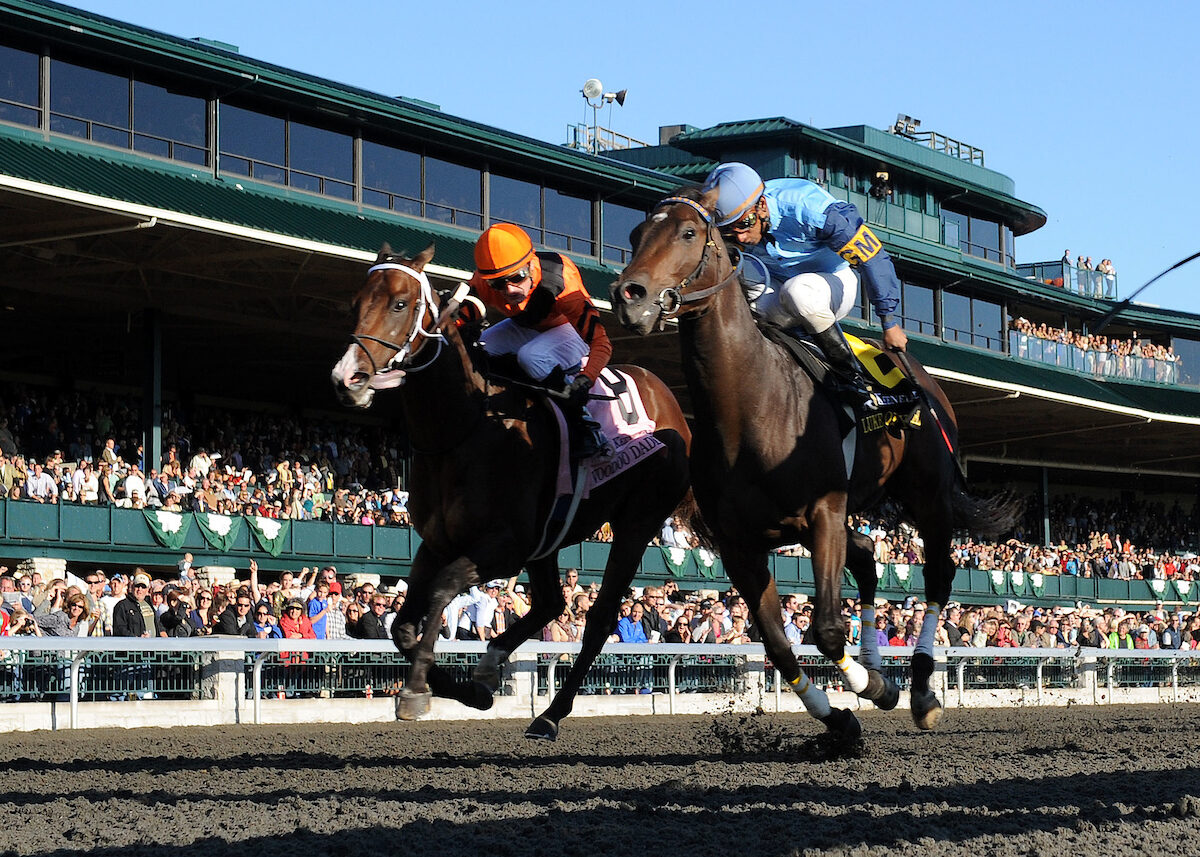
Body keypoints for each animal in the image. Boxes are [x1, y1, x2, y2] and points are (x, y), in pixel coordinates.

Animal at [333, 243, 691, 739]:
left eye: (400, 304)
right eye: (354, 304)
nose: (347, 378)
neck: (464, 427)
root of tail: (670, 400)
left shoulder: (504, 547)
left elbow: (442, 591)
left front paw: (418, 689)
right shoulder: (437, 543)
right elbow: (401, 626)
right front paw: (466, 689)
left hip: (637, 521)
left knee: (599, 619)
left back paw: (550, 713)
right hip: (549, 539)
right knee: (553, 602)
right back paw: (491, 665)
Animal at [614, 188, 1017, 734]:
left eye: (688, 233)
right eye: (636, 233)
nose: (629, 296)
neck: (751, 405)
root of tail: (928, 383)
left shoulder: (824, 512)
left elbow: (825, 629)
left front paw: (871, 687)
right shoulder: (741, 544)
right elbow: (779, 646)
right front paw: (842, 717)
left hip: (927, 493)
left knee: (938, 574)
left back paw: (919, 689)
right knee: (867, 555)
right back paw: (878, 666)